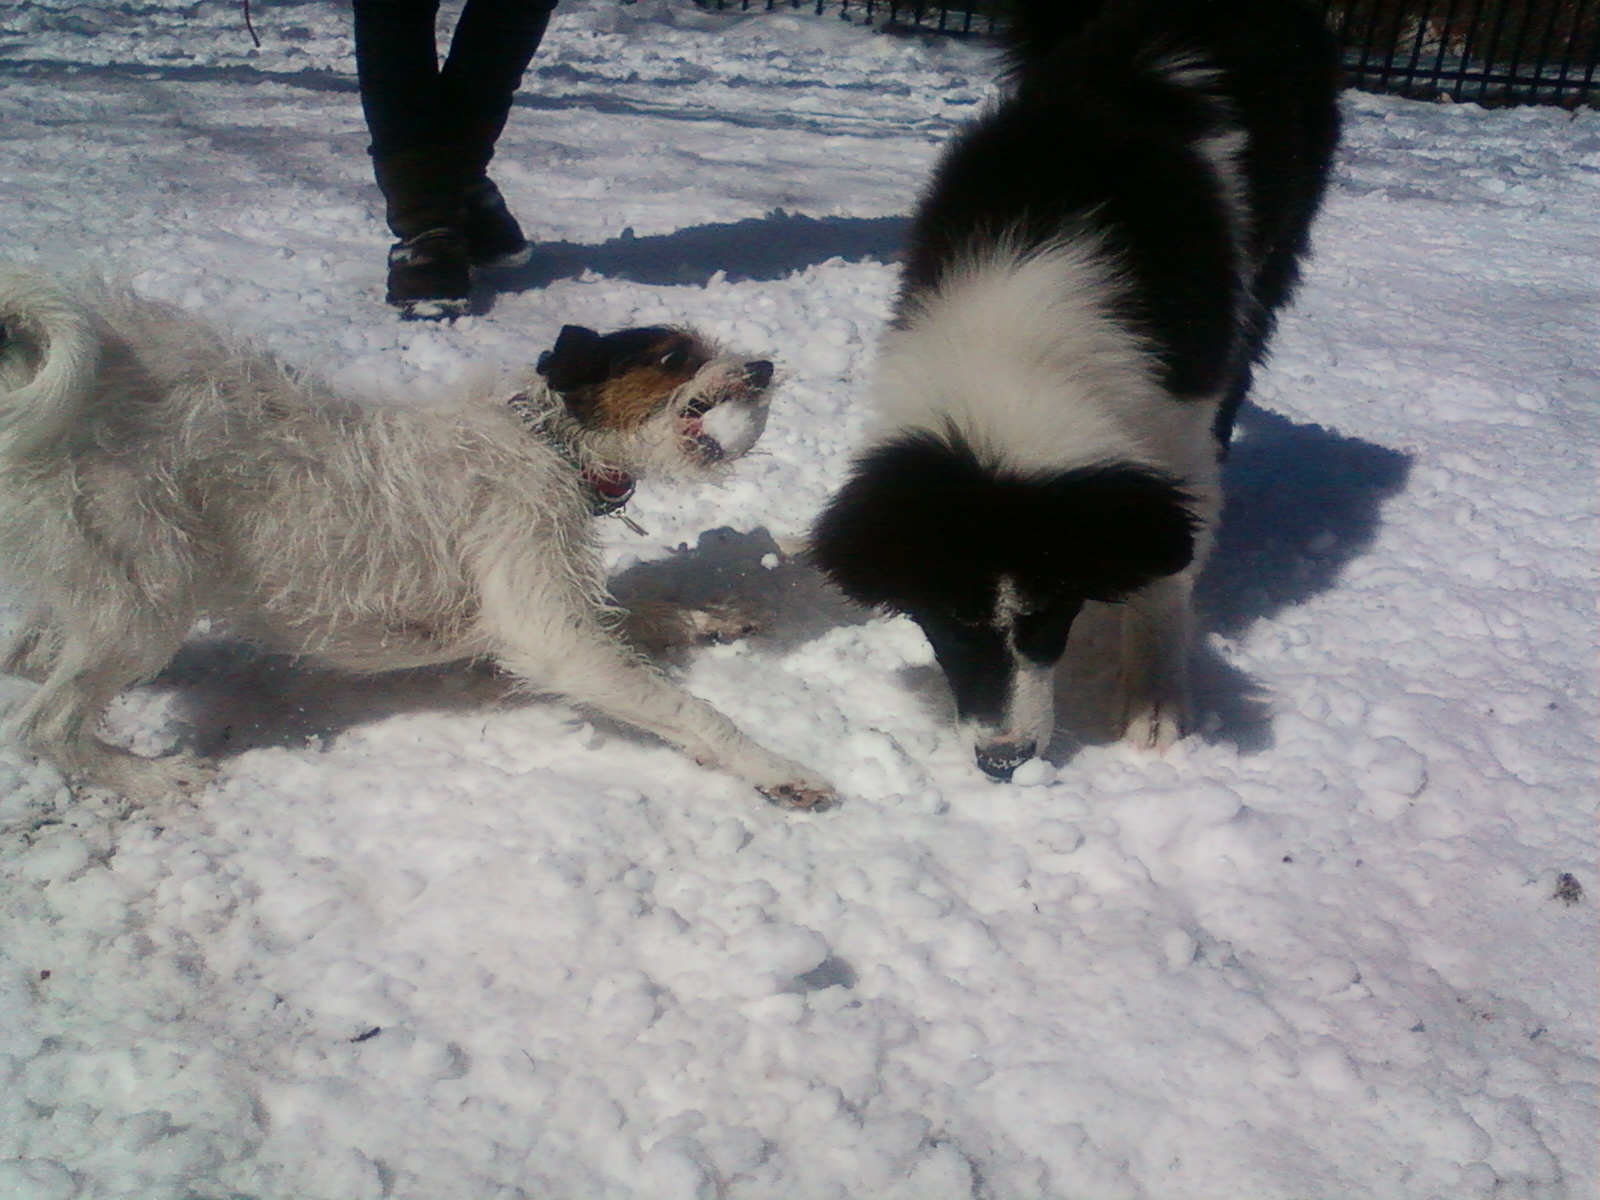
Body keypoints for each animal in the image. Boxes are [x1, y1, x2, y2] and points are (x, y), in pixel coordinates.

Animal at [3, 267, 838, 812]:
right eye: (673, 357)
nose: (763, 366)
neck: (545, 442)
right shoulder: (549, 634)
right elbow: (688, 709)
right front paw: (778, 767)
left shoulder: (551, 606)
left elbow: (648, 609)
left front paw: (709, 617)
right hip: (145, 601)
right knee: (44, 724)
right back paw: (152, 780)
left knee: (30, 657)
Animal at [812, 0, 1337, 780]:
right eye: (949, 619)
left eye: (1049, 611)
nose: (1004, 761)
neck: (1011, 343)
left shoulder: (1176, 423)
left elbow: (1170, 561)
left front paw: (1154, 702)